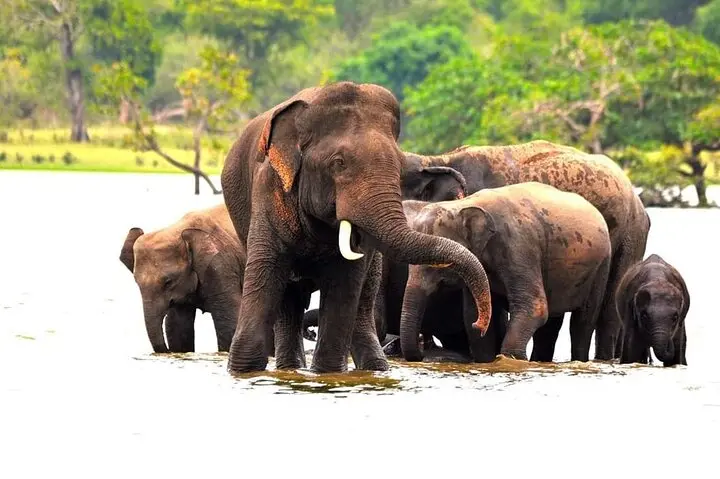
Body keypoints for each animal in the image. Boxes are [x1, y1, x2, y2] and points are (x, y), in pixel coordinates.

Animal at [220, 81, 493, 373]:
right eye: (338, 163)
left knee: (363, 299)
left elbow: (345, 282)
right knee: (289, 298)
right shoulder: (269, 189)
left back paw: (374, 367)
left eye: (399, 168)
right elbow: (266, 272)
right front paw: (244, 370)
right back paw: (291, 368)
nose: (479, 323)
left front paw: (327, 372)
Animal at [400, 182, 612, 363]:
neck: (465, 204)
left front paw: (510, 359)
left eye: (438, 265)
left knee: (582, 322)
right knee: (551, 325)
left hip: (602, 266)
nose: (422, 351)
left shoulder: (519, 246)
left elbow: (535, 308)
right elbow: (471, 314)